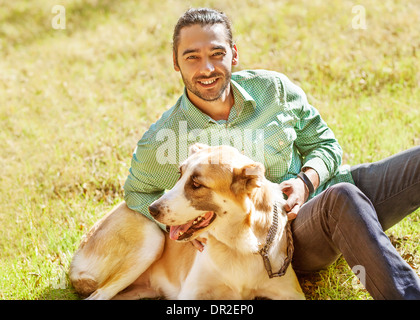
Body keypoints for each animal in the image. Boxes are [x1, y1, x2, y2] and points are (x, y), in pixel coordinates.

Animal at [69, 144, 306, 298]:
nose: (152, 209)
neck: (239, 246)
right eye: (179, 174)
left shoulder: (291, 294)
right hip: (152, 240)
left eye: (197, 184)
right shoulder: (190, 293)